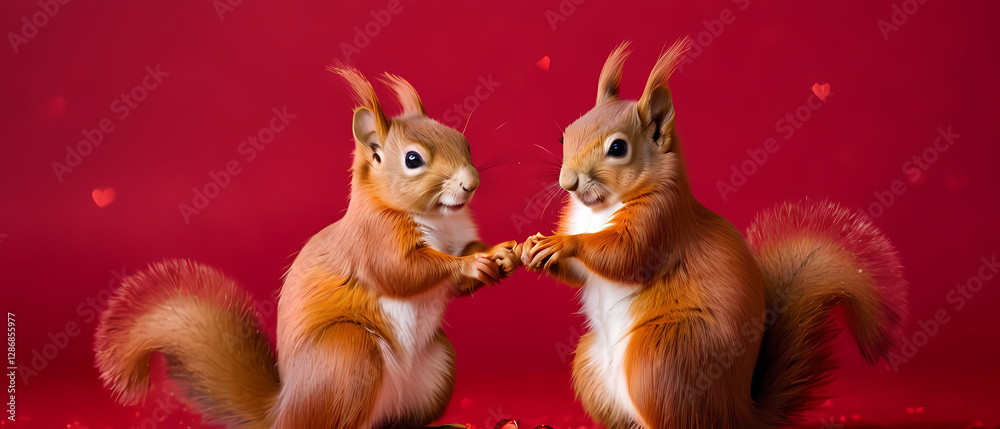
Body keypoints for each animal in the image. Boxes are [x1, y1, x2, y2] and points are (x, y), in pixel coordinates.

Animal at [94, 65, 520, 428]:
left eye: (464, 141)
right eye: (413, 159)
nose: (470, 183)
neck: (438, 219)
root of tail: (283, 413)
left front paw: (498, 252)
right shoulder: (373, 241)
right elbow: (401, 272)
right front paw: (471, 264)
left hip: (435, 368)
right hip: (348, 356)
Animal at [520, 38, 907, 428]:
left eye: (618, 148)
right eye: (563, 136)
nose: (567, 182)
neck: (598, 210)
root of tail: (737, 412)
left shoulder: (663, 222)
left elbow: (627, 256)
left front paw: (564, 243)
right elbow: (580, 274)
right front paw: (532, 248)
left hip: (661, 357)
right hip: (595, 363)